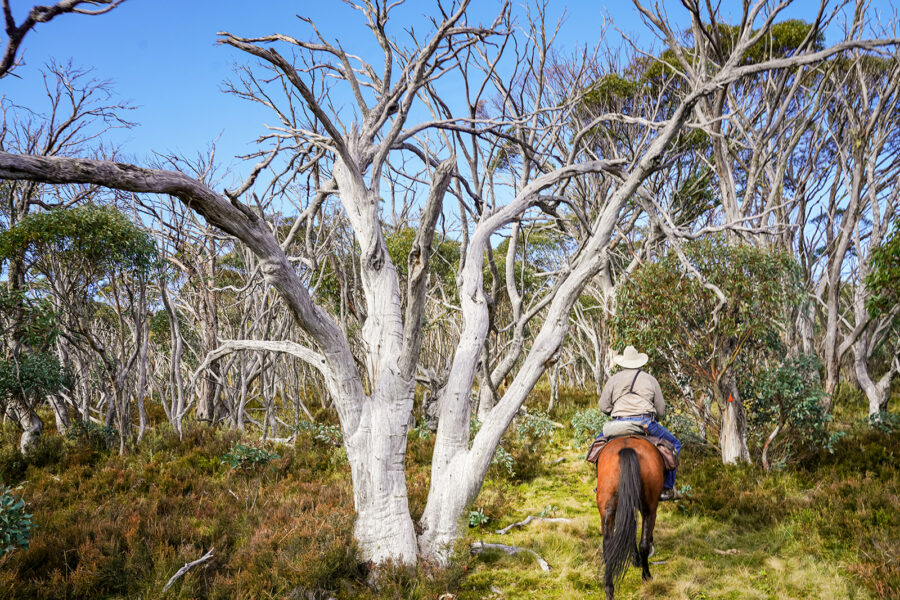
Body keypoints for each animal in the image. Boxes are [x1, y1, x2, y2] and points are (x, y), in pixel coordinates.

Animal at [595, 435, 666, 600]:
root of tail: (626, 449)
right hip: (650, 508)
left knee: (608, 544)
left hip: (607, 508)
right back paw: (647, 577)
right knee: (644, 544)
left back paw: (609, 588)